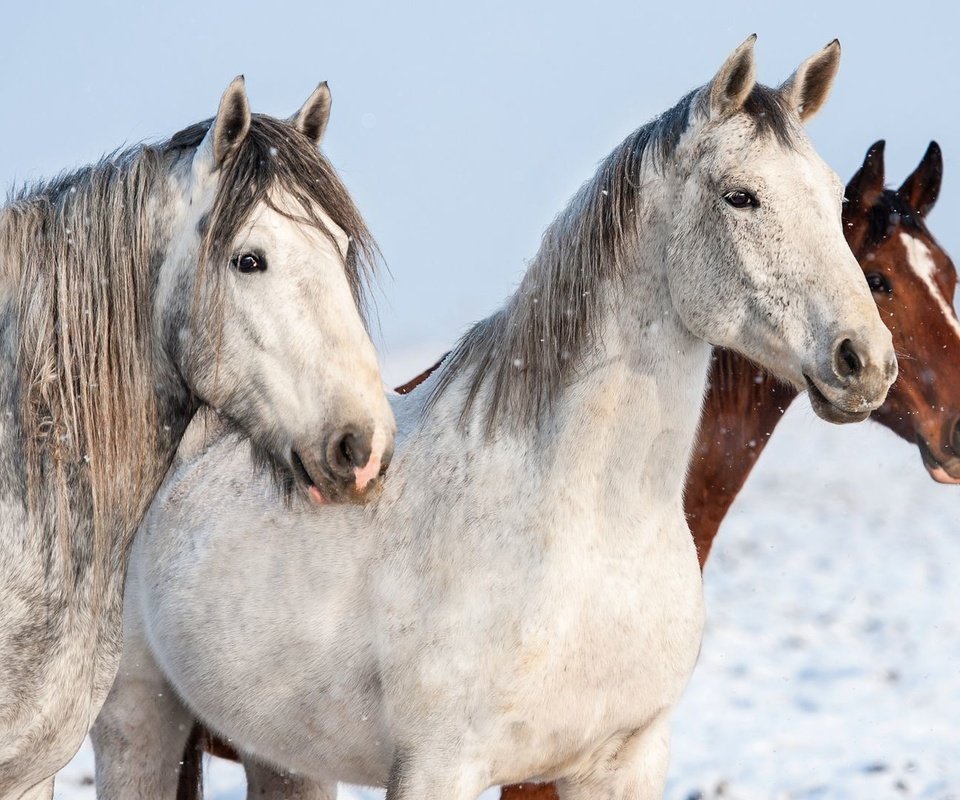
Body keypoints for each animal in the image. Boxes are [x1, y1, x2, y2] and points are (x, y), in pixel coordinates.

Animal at [95, 37, 892, 800]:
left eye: (833, 197)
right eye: (740, 197)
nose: (865, 360)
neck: (587, 533)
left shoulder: (626, 765)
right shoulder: (437, 767)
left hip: (283, 756)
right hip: (138, 720)